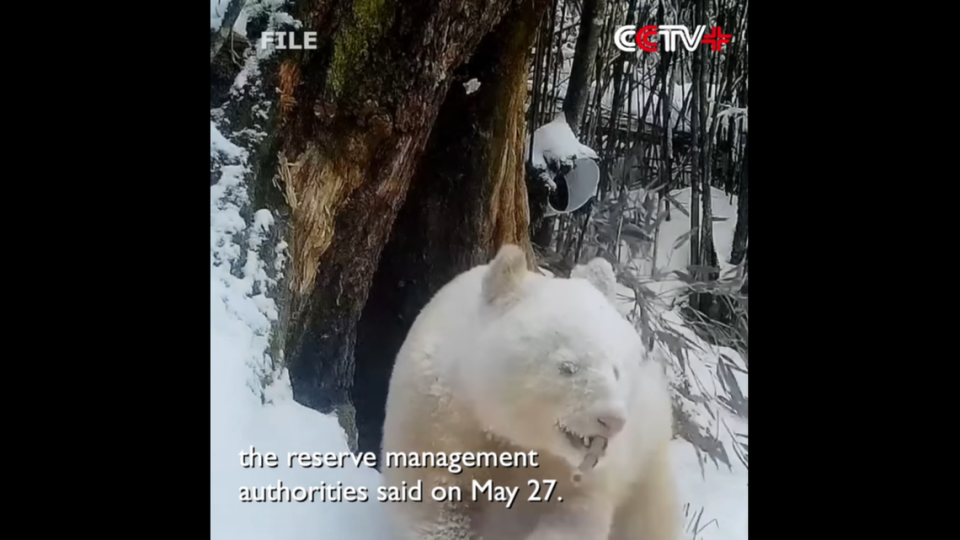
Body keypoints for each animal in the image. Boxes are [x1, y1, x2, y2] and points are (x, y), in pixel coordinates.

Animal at [378, 245, 680, 540]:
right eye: (567, 367)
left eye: (616, 370)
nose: (611, 420)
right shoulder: (438, 420)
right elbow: (435, 505)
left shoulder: (582, 474)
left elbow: (574, 517)